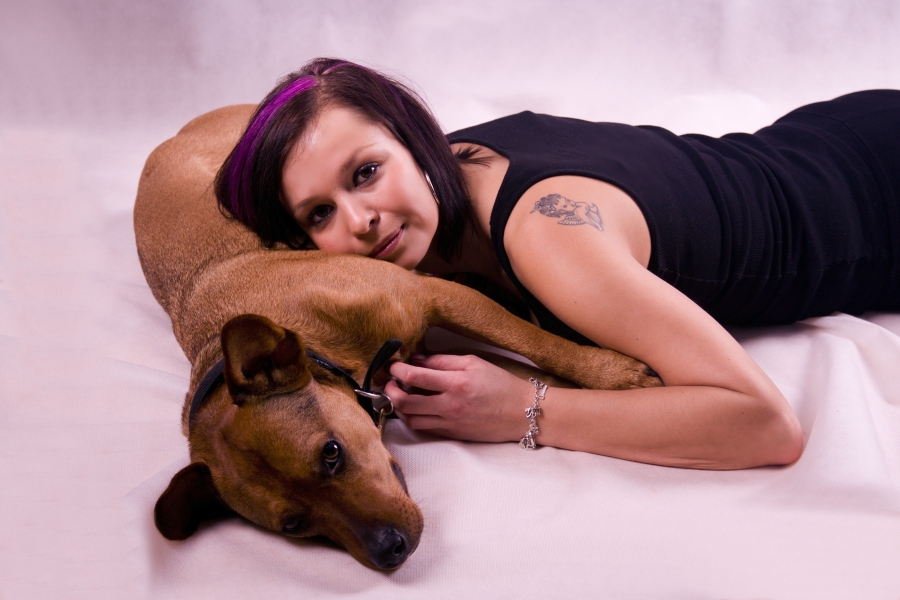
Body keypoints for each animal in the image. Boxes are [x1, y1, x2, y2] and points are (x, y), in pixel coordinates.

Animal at [133, 104, 661, 570]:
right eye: (293, 525)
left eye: (330, 454)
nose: (389, 551)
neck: (324, 347)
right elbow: (530, 377)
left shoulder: (432, 295)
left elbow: (540, 346)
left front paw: (613, 375)